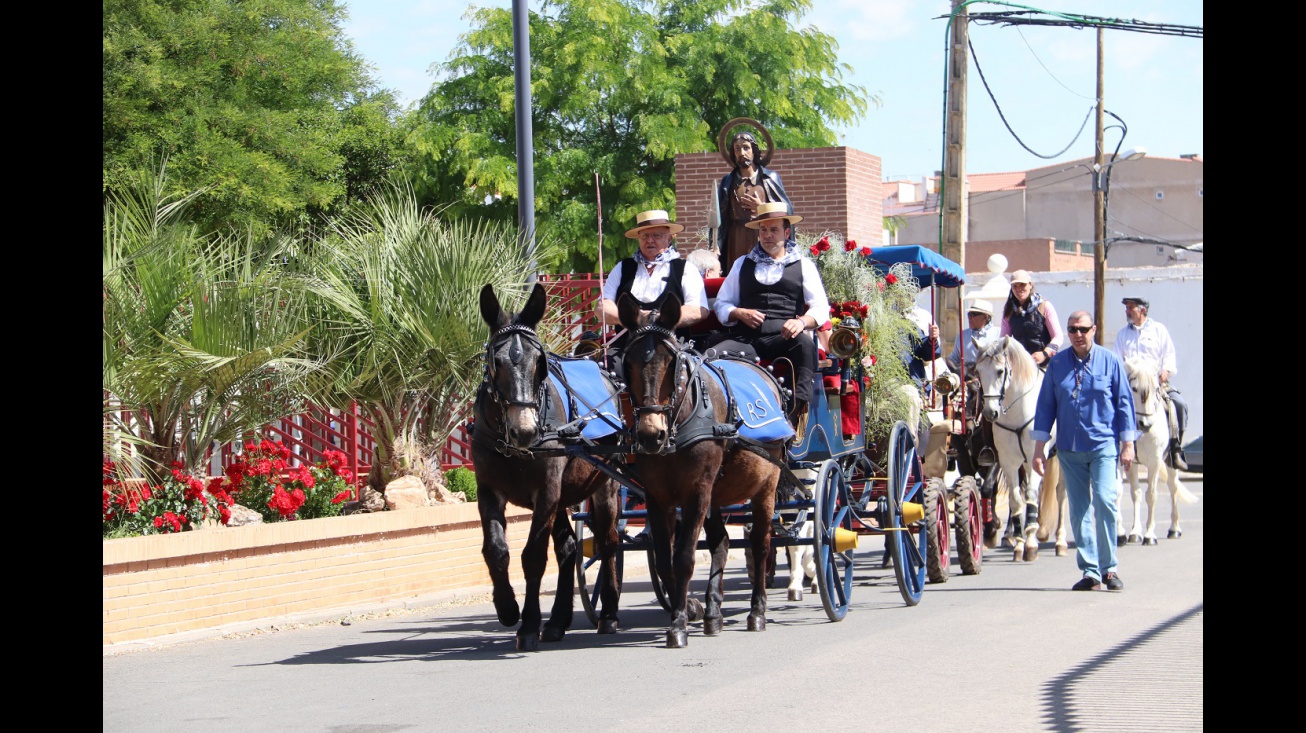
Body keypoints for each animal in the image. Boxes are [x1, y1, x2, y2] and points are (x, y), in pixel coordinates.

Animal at [976, 337, 1065, 559]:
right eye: (978, 371)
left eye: (1000, 371)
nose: (990, 412)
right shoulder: (1009, 462)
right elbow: (1016, 500)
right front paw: (1018, 544)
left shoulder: (1035, 459)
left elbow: (1032, 495)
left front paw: (1031, 543)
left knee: (1061, 493)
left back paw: (1060, 541)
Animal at [1117, 355, 1196, 543]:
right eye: (1133, 388)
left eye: (1156, 389)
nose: (1145, 424)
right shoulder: (1120, 461)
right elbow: (1118, 493)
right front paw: (1121, 533)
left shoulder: (1155, 462)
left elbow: (1151, 495)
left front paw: (1150, 535)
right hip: (1133, 465)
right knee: (1135, 493)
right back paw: (1135, 532)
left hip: (1170, 462)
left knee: (1173, 488)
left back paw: (1174, 529)